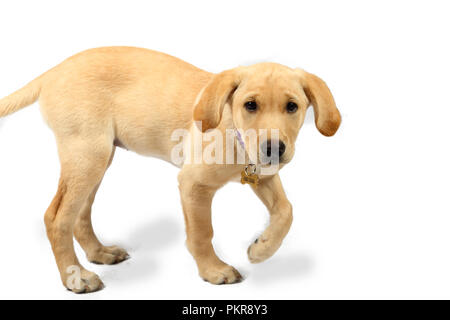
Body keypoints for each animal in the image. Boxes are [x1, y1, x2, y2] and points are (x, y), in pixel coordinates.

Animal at [0, 46, 340, 294]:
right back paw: (76, 277)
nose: (273, 149)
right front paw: (213, 270)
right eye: (250, 105)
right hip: (87, 156)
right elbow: (202, 232)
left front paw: (262, 249)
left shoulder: (263, 175)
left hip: (99, 158)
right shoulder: (193, 184)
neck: (233, 131)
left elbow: (286, 210)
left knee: (80, 214)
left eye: (292, 107)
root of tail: (54, 70)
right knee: (57, 217)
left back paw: (99, 253)